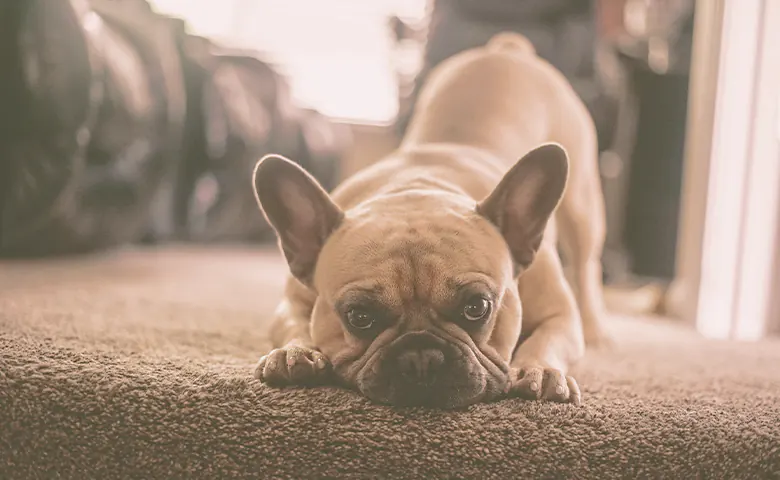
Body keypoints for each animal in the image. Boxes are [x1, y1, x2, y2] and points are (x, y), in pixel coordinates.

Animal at [253, 31, 612, 406]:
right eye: (359, 317)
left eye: (477, 307)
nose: (421, 358)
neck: (419, 186)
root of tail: (507, 50)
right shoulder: (292, 302)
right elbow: (294, 325)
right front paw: (294, 352)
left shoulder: (559, 315)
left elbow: (547, 339)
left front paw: (539, 370)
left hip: (583, 207)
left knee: (587, 266)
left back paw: (597, 329)